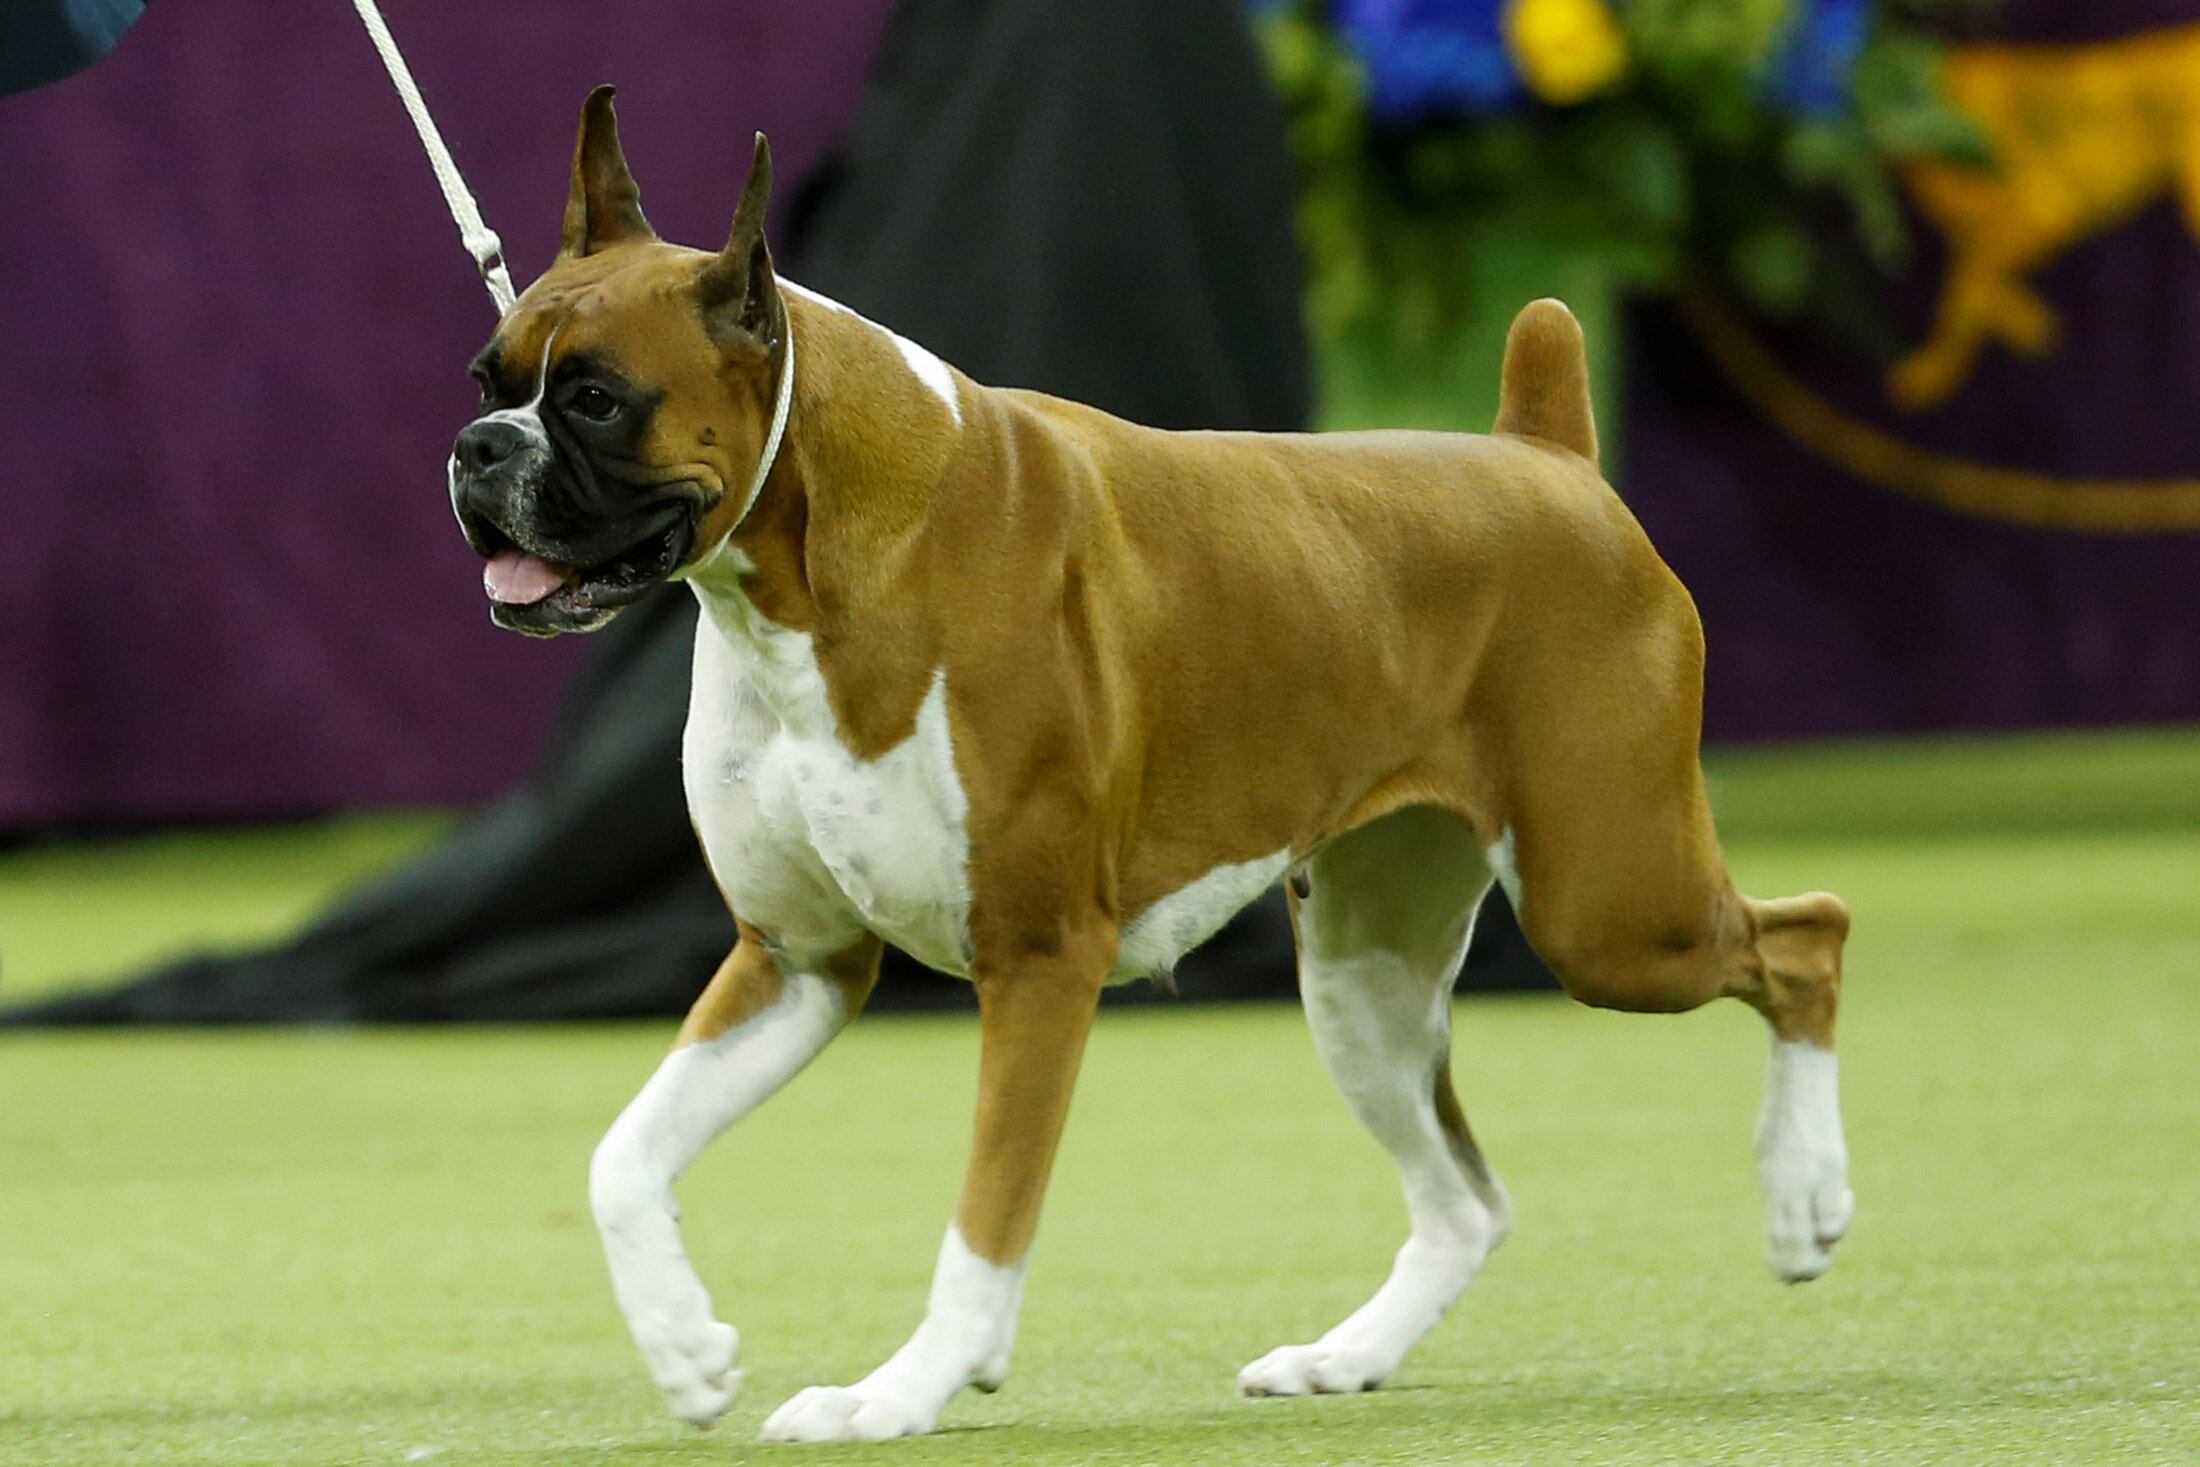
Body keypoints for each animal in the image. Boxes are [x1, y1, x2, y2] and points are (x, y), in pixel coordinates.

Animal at [446, 91, 1856, 1442]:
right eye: (484, 376)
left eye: (594, 399)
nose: (478, 449)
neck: (811, 564)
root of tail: (1545, 456)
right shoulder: (796, 961)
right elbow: (624, 1159)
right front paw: (688, 1351)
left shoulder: (1037, 963)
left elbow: (985, 1220)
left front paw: (900, 1392)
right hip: (1367, 978)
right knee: (1469, 1197)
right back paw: (1342, 1359)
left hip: (1608, 911)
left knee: (1805, 937)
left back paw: (1804, 1197)